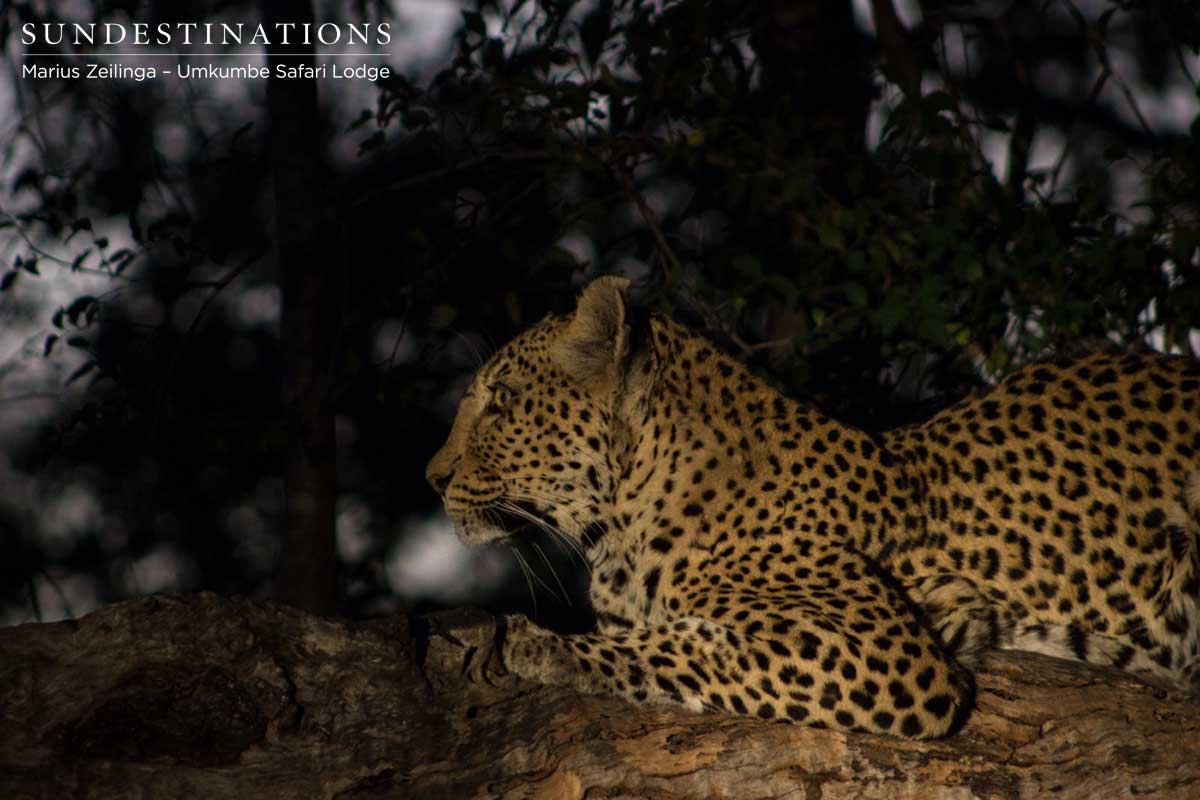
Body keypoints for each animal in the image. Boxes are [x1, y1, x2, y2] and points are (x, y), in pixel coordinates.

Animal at [424, 275, 1200, 738]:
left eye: (500, 402)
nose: (432, 478)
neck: (620, 529)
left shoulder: (887, 651)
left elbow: (688, 645)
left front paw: (538, 644)